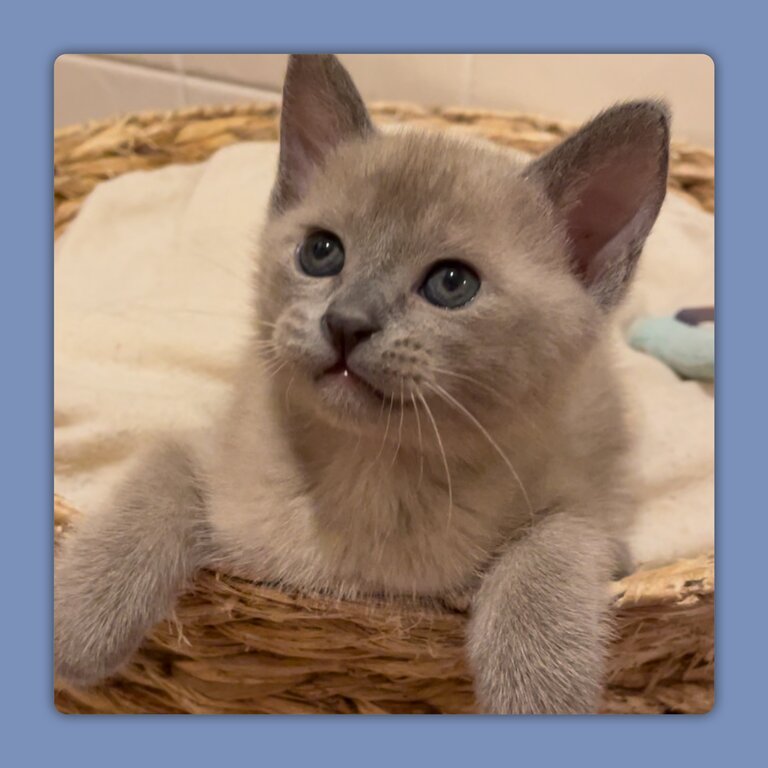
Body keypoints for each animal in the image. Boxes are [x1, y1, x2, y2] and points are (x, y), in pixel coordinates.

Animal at [54, 54, 668, 712]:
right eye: (321, 251)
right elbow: (156, 479)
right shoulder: (212, 443)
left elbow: (555, 543)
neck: (366, 471)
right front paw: (81, 623)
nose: (345, 322)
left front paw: (538, 688)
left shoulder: (590, 507)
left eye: (453, 284)